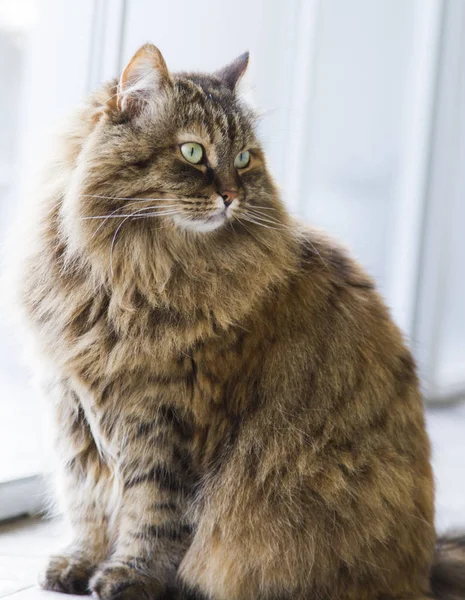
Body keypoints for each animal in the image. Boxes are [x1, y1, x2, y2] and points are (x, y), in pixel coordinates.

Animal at [16, 43, 462, 600]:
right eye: (193, 152)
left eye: (245, 159)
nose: (231, 195)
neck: (131, 274)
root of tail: (425, 570)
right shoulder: (72, 410)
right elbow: (87, 502)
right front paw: (79, 564)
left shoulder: (166, 420)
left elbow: (151, 514)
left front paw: (129, 577)